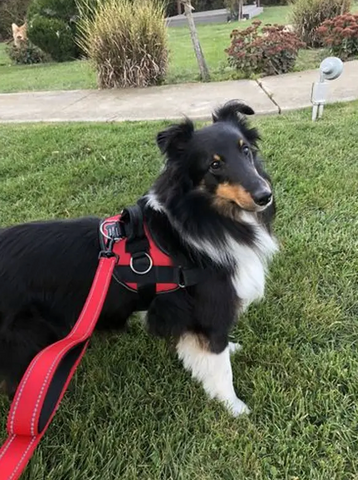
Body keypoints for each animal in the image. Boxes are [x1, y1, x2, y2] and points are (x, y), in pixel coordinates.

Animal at [0, 101, 276, 416]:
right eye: (214, 165)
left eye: (245, 150)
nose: (265, 195)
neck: (200, 218)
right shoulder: (210, 309)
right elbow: (220, 367)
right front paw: (235, 408)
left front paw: (230, 351)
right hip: (23, 340)